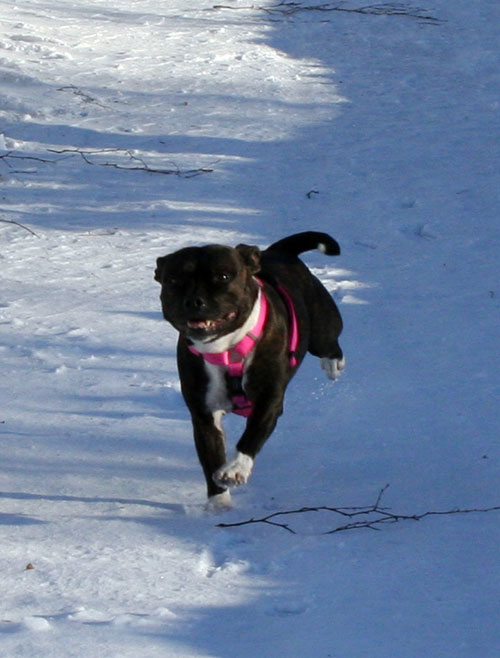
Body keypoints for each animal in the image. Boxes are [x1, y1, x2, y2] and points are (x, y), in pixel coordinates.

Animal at [155, 231, 345, 508]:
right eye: (173, 279)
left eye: (224, 276)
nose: (194, 301)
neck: (225, 349)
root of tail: (279, 252)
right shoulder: (203, 414)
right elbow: (210, 455)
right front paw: (219, 503)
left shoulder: (269, 400)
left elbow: (251, 435)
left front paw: (234, 469)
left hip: (321, 326)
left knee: (330, 343)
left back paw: (332, 364)